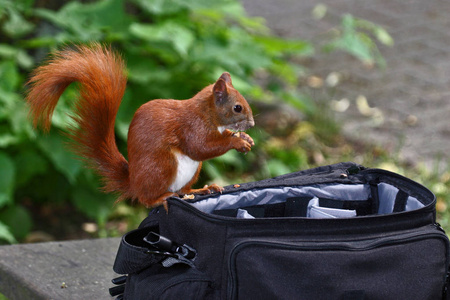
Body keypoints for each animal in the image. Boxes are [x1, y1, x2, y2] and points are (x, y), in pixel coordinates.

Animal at [26, 43, 255, 209]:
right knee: (146, 199)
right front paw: (237, 142)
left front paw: (245, 138)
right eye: (237, 108)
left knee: (183, 191)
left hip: (191, 171)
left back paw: (199, 190)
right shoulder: (191, 127)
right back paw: (160, 198)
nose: (252, 124)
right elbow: (200, 147)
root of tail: (134, 182)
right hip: (162, 165)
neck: (208, 115)